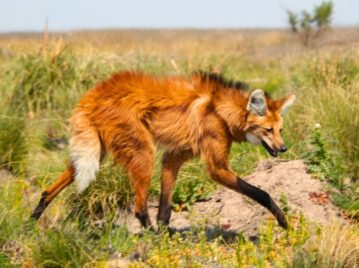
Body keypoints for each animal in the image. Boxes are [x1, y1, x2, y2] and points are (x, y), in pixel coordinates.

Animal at [31, 70, 296, 228]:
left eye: (280, 130)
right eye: (268, 130)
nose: (283, 148)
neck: (222, 112)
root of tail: (94, 94)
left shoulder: (174, 156)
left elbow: (165, 208)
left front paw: (166, 237)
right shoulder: (216, 167)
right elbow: (262, 193)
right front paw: (283, 220)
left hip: (98, 150)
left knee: (49, 190)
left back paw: (31, 220)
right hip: (141, 151)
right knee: (139, 209)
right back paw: (148, 236)